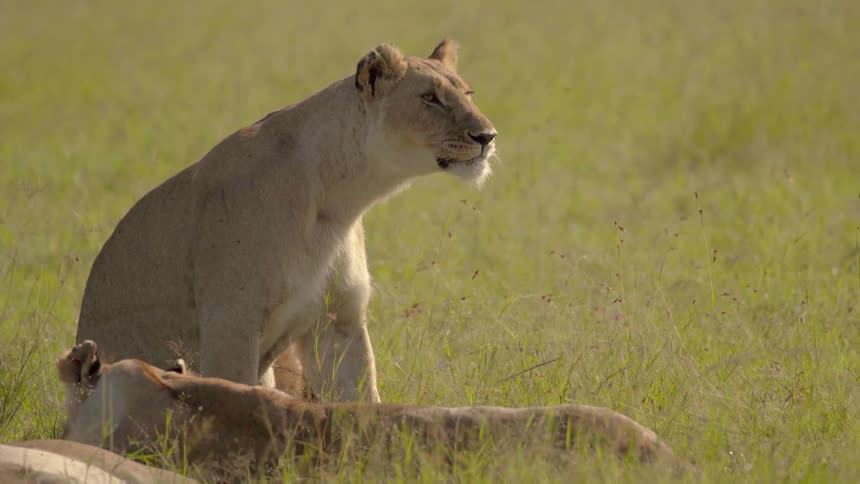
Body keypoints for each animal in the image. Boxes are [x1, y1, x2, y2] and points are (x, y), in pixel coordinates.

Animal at [74, 39, 498, 402]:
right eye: (430, 98)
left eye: (468, 94)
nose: (487, 136)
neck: (337, 201)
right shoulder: (231, 325)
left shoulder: (338, 321)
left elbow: (362, 405)